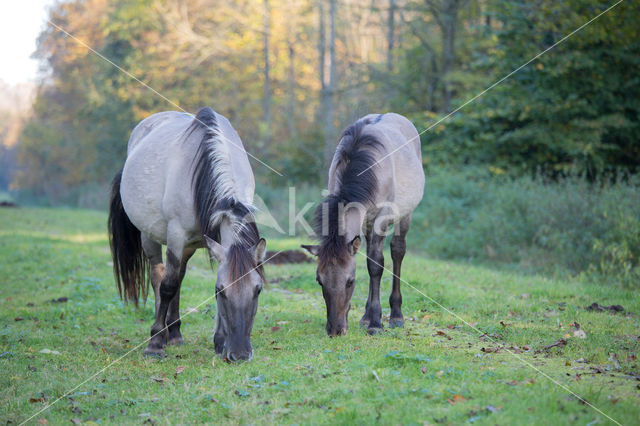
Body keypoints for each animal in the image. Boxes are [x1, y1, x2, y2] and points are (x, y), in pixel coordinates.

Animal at [107, 105, 264, 360]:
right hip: (149, 236)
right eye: (221, 291)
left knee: (178, 277)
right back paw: (162, 335)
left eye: (258, 290)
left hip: (189, 246)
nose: (240, 354)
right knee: (160, 277)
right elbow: (167, 286)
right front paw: (155, 343)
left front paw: (219, 341)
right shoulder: (176, 235)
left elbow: (178, 282)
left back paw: (175, 334)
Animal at [302, 112, 422, 336]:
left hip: (405, 215)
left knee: (397, 251)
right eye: (319, 281)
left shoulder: (382, 218)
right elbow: (369, 262)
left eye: (350, 281)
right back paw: (366, 317)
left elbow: (376, 265)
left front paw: (376, 323)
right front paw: (367, 318)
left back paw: (396, 316)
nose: (335, 330)